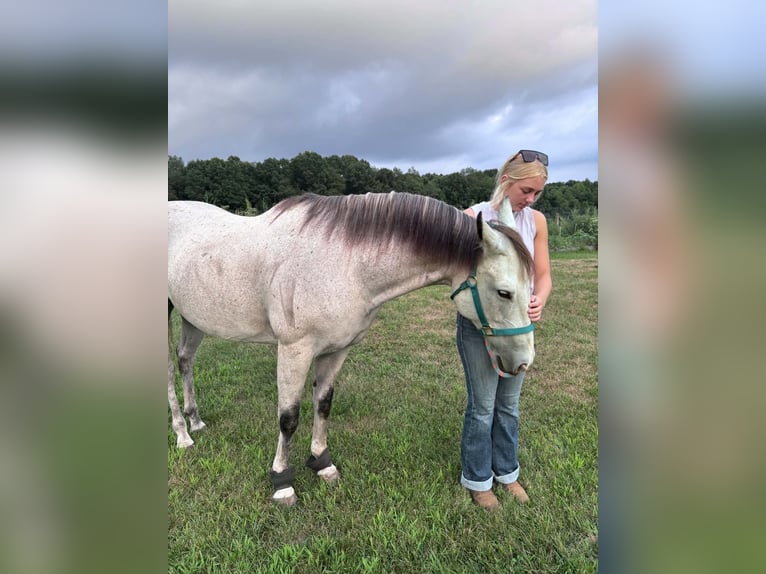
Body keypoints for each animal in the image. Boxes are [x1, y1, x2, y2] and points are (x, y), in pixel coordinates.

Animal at [168, 191, 535, 505]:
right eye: (504, 292)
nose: (522, 363)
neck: (342, 264)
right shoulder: (294, 350)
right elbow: (288, 418)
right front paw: (282, 482)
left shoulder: (336, 350)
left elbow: (323, 405)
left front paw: (322, 463)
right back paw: (182, 434)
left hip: (193, 318)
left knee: (185, 361)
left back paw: (196, 421)